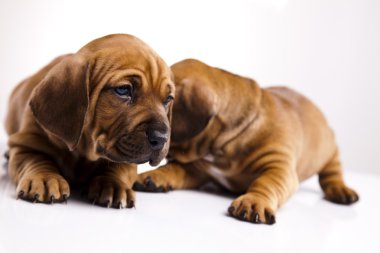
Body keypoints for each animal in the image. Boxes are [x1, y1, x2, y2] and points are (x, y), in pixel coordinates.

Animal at [5, 33, 174, 208]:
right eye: (123, 90)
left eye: (168, 99)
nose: (162, 138)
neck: (83, 149)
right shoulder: (25, 143)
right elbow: (36, 159)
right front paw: (44, 178)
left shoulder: (127, 157)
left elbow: (120, 167)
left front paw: (113, 185)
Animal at [134, 58, 360, 223]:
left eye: (165, 101)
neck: (219, 147)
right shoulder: (196, 168)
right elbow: (174, 169)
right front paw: (154, 176)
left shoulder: (278, 167)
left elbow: (266, 183)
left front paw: (253, 201)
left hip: (330, 151)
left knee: (332, 173)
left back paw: (341, 190)